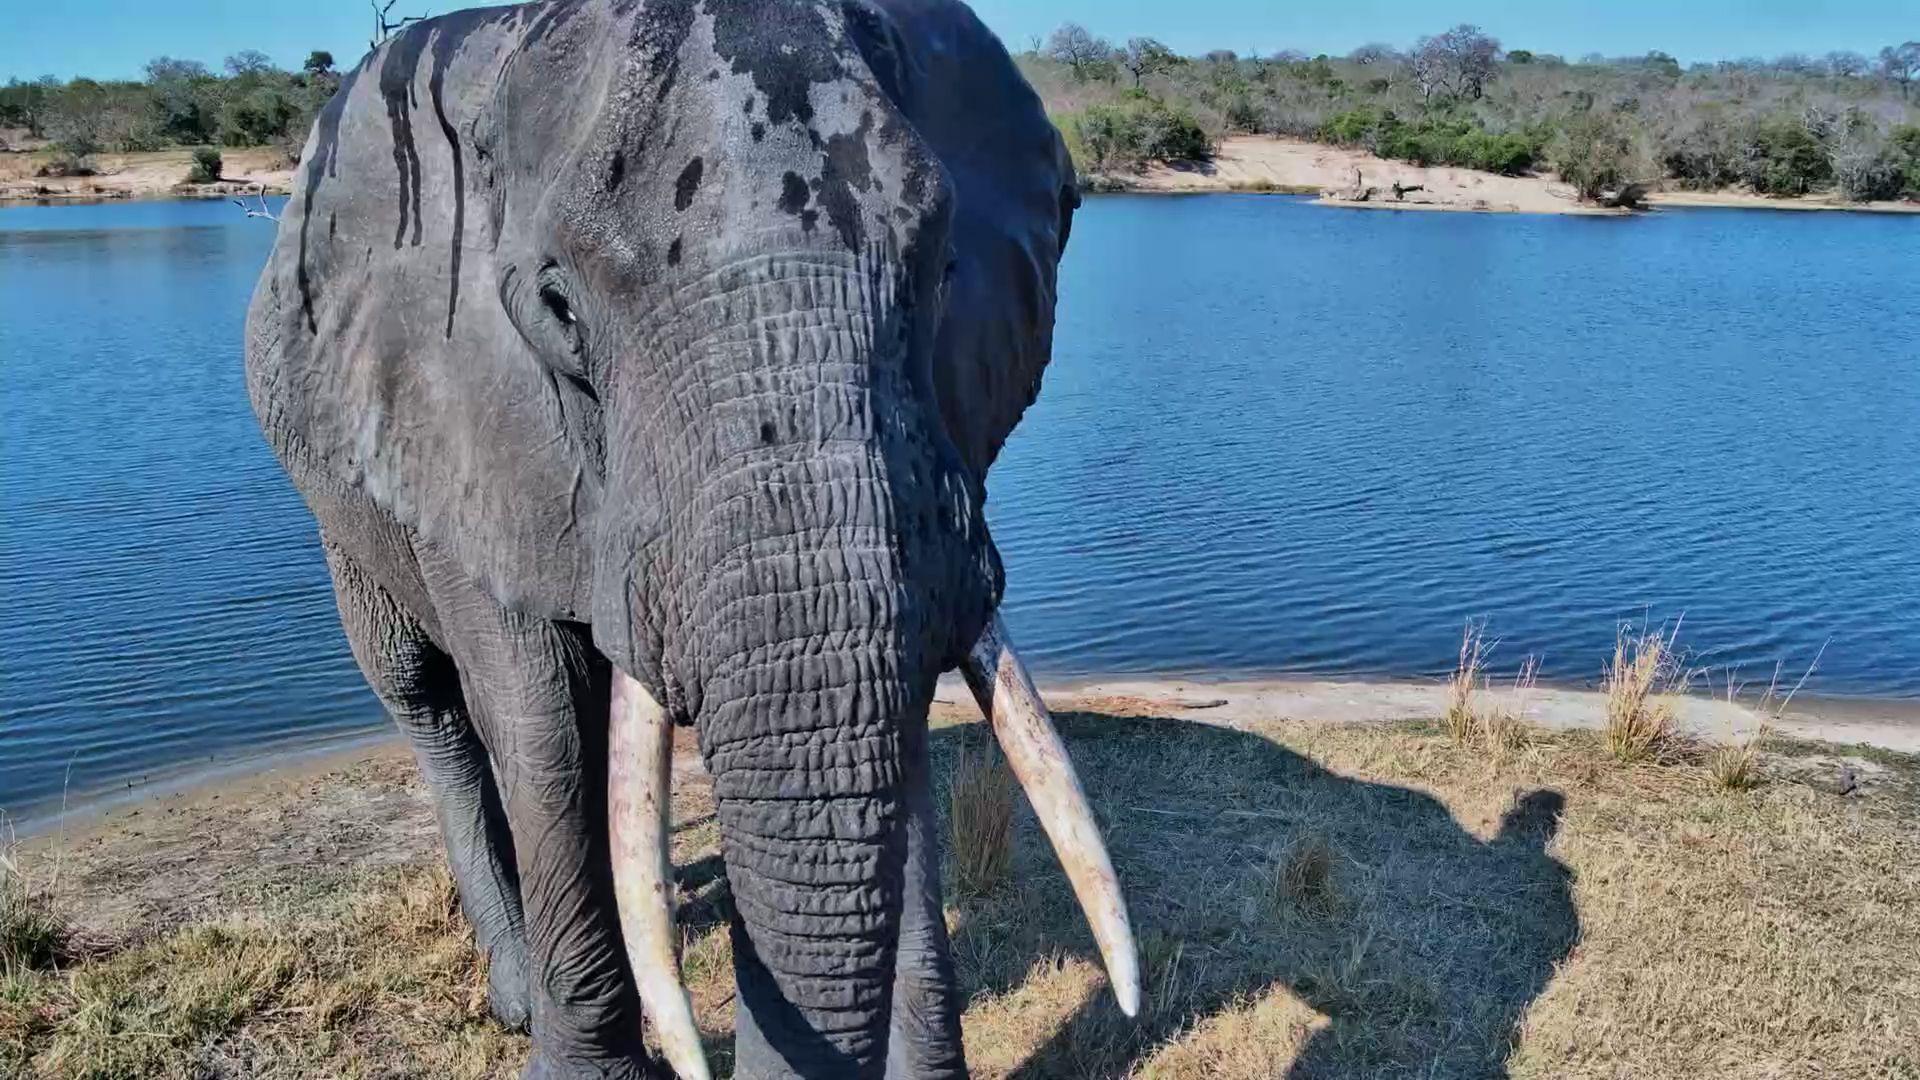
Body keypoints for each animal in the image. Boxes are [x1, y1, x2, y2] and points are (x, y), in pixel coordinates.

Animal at [244, 1, 1136, 1078]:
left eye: (944, 269)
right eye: (557, 308)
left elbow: (896, 708)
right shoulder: (465, 421)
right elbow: (544, 726)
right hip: (337, 489)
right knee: (428, 701)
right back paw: (514, 993)